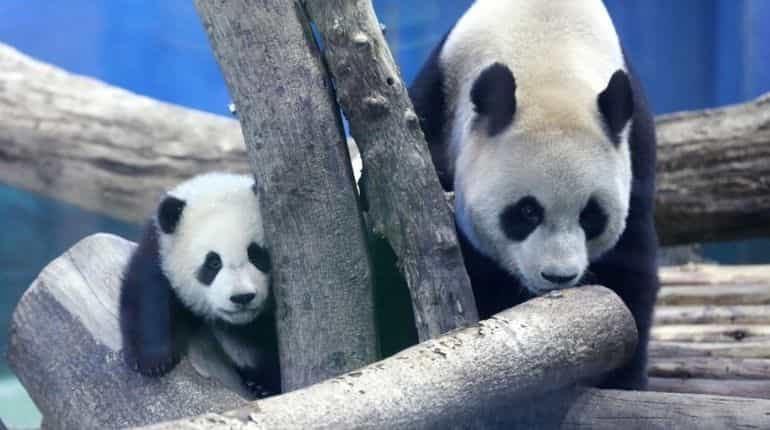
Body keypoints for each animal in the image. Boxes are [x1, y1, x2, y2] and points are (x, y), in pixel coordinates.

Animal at [119, 172, 280, 398]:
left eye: (256, 255)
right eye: (213, 263)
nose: (242, 297)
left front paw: (264, 384)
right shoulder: (160, 250)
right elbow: (148, 295)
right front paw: (153, 360)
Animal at [408, 0, 658, 390]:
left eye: (591, 215)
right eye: (527, 212)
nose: (558, 277)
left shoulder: (635, 149)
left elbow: (630, 265)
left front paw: (622, 378)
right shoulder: (438, 102)